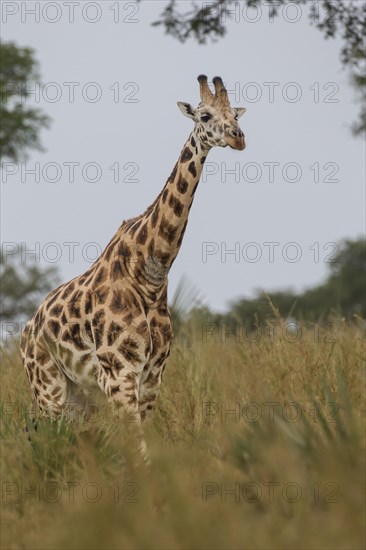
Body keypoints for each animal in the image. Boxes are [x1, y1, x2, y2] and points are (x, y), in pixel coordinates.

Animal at [18, 74, 244, 458]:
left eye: (237, 114)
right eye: (205, 116)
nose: (238, 137)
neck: (151, 273)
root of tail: (26, 330)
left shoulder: (153, 374)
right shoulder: (118, 373)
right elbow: (139, 451)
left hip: (80, 394)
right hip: (48, 385)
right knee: (48, 438)